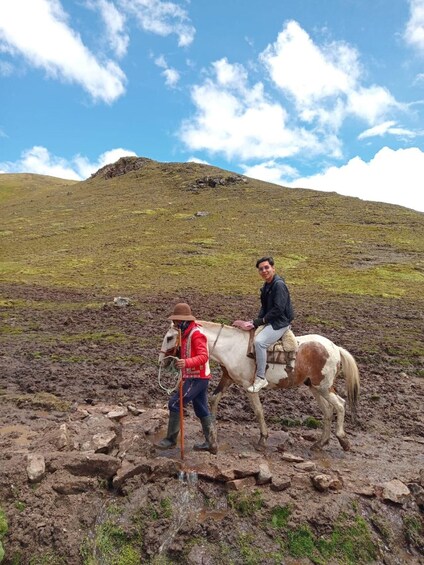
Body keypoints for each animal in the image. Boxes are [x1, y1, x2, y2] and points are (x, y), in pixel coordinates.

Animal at [157, 322, 360, 450]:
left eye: (169, 337)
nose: (161, 361)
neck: (232, 347)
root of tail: (335, 347)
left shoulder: (249, 386)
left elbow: (258, 410)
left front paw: (262, 439)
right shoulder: (227, 379)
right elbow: (213, 400)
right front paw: (211, 432)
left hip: (324, 386)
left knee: (340, 405)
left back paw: (343, 440)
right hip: (315, 388)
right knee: (328, 411)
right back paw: (320, 443)